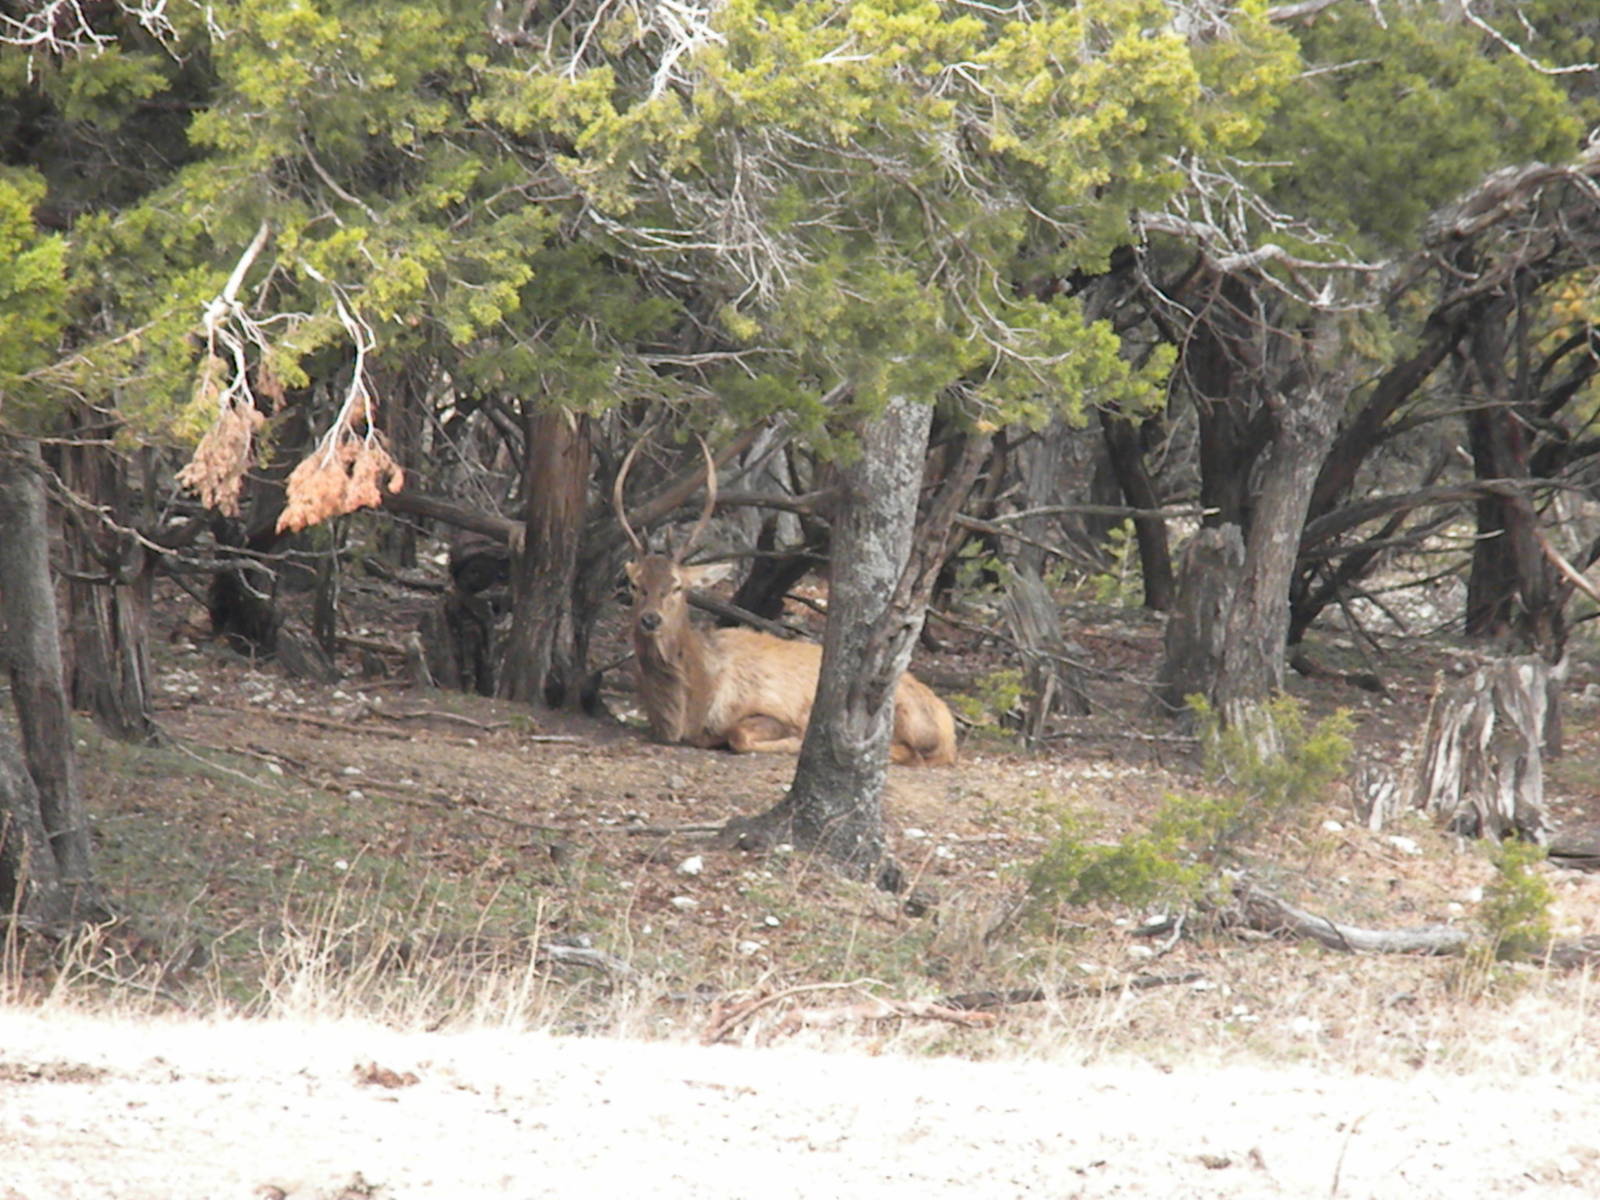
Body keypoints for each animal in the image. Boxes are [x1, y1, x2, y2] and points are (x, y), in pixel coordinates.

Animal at [613, 437, 957, 766]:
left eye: (677, 586)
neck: (691, 708)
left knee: (908, 752)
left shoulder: (770, 708)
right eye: (635, 584)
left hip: (904, 715)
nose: (650, 618)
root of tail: (949, 723)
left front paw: (793, 741)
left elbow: (739, 735)